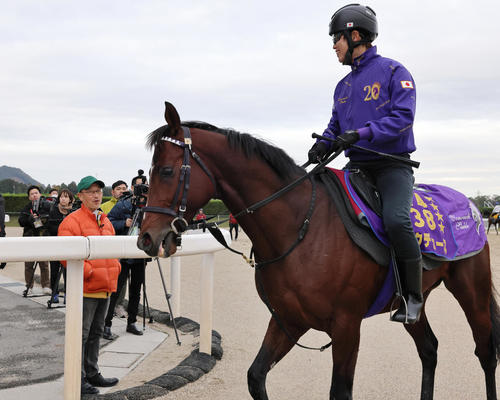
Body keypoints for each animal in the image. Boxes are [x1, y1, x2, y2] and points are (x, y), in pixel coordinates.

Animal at [138, 103, 500, 400]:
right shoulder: (288, 319)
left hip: (472, 289)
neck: (301, 226)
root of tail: (470, 206)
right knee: (429, 349)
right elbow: (256, 376)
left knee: (486, 350)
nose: (146, 238)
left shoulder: (346, 326)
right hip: (413, 303)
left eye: (167, 171)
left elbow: (339, 392)